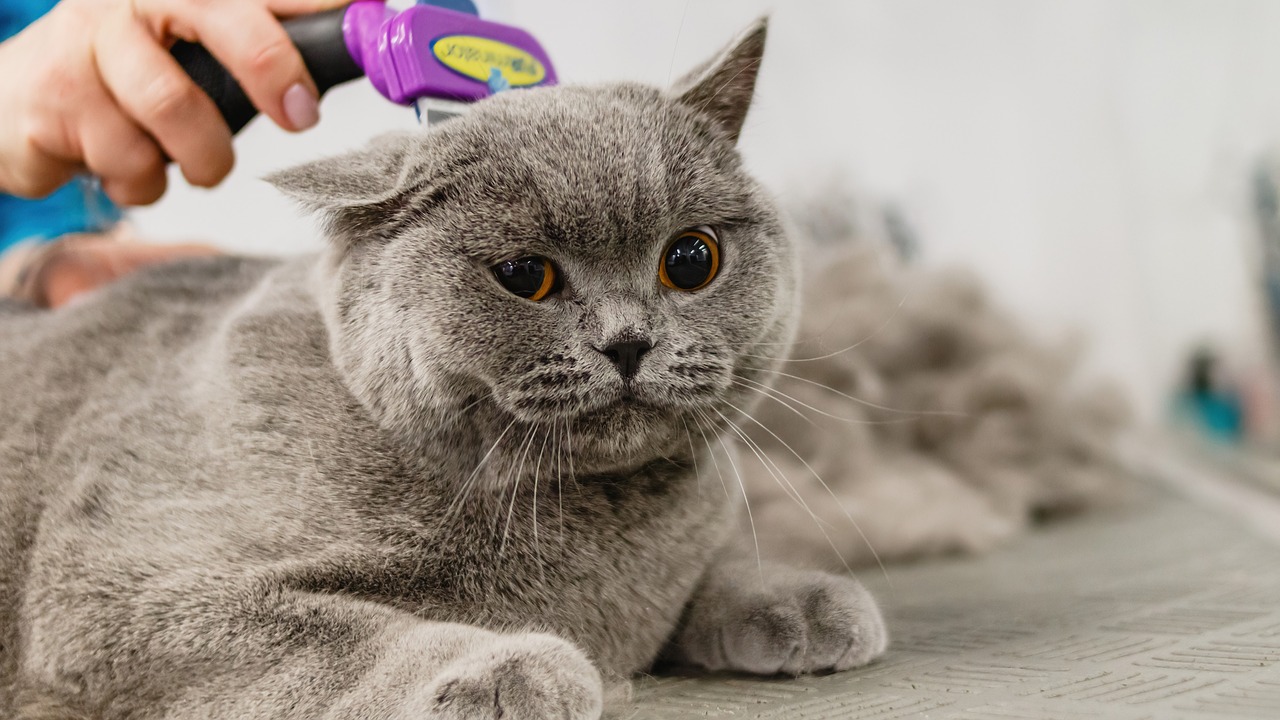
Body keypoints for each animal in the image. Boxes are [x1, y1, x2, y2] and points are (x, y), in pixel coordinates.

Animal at [0, 18, 880, 717]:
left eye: (691, 259)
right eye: (525, 275)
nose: (628, 342)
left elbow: (702, 574)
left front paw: (794, 596)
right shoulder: (119, 594)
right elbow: (334, 633)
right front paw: (510, 668)